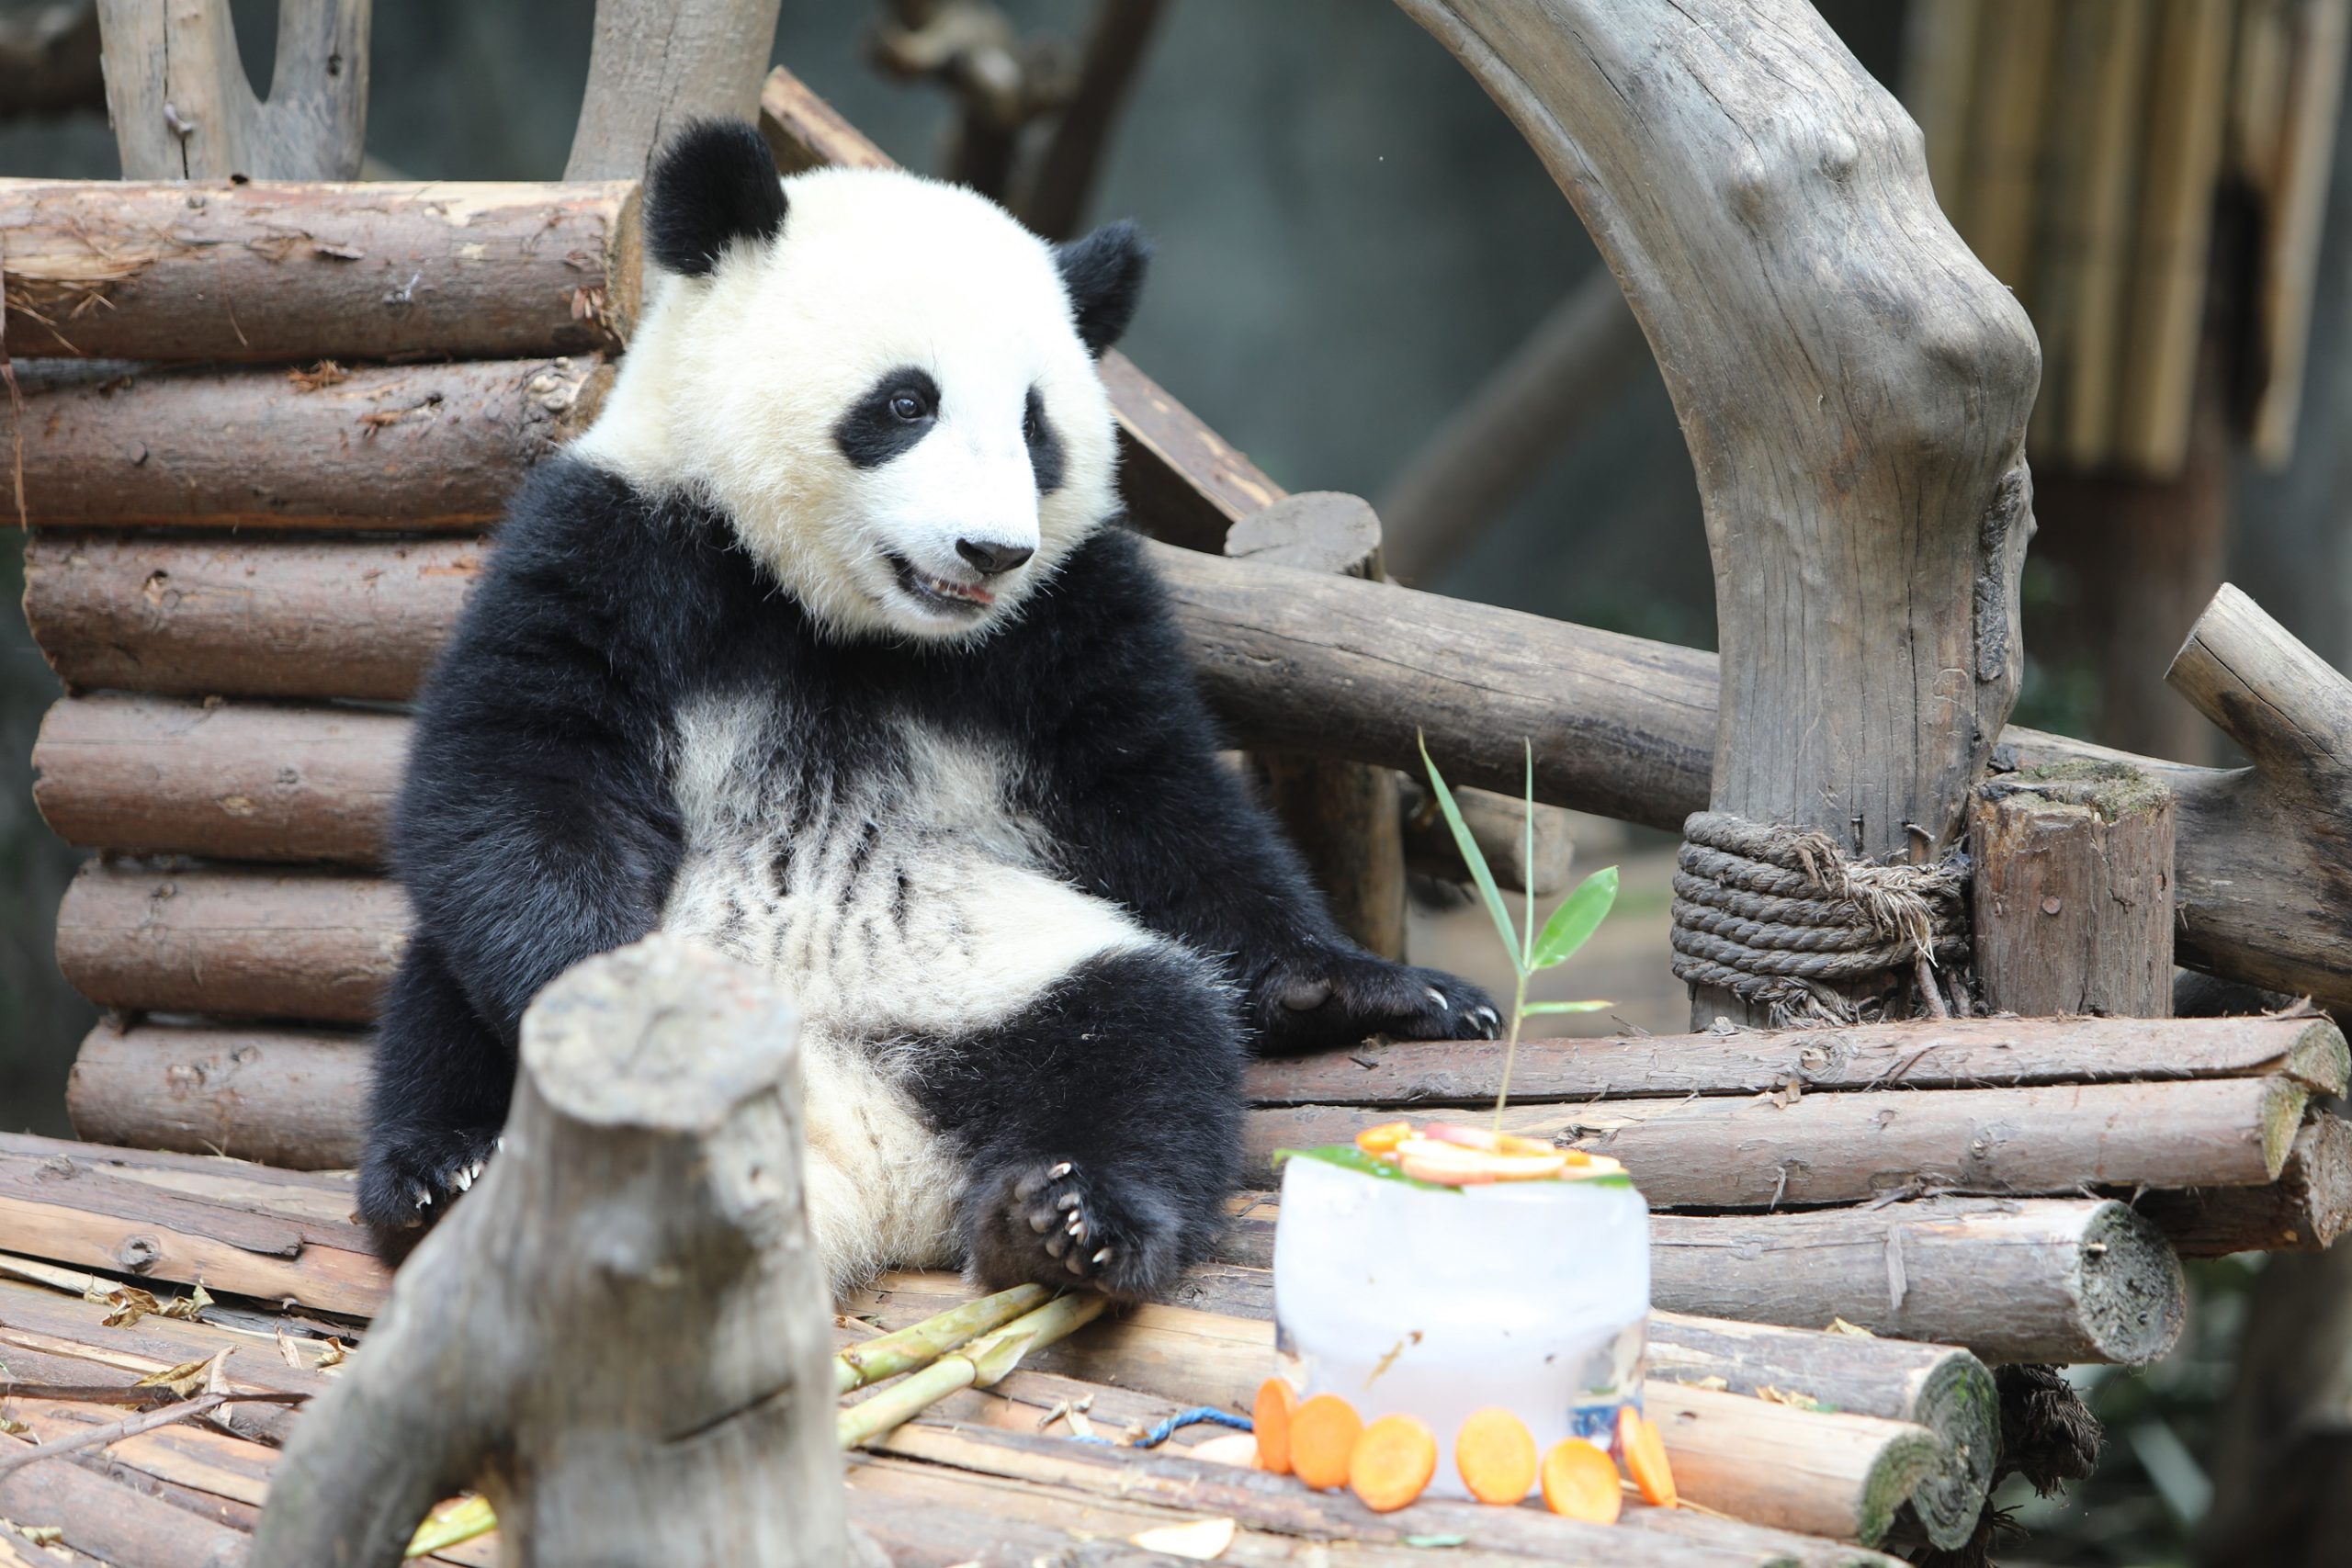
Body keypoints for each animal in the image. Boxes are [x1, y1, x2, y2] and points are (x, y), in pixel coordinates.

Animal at [362, 119, 1505, 1297]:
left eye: (1036, 429)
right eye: (907, 403)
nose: (991, 551)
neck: (852, 623)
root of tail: (861, 1159)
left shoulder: (1068, 617)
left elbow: (1161, 809)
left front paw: (1383, 990)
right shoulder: (617, 540)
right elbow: (524, 768)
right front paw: (634, 1020)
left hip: (1014, 973)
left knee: (1149, 1040)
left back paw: (1066, 1220)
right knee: (443, 993)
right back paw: (450, 1173)